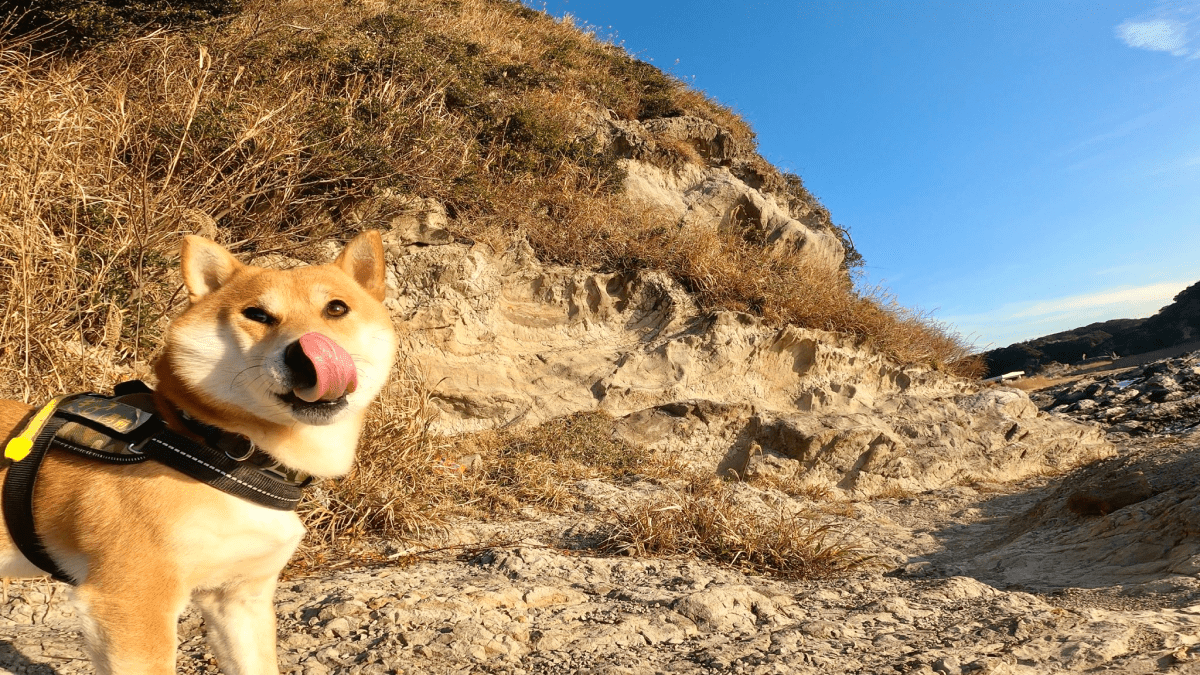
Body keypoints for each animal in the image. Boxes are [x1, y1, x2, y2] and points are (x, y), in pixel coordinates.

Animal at [0, 229, 400, 672]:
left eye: (337, 308)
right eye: (257, 314)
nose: (306, 353)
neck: (222, 449)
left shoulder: (239, 599)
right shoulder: (129, 604)